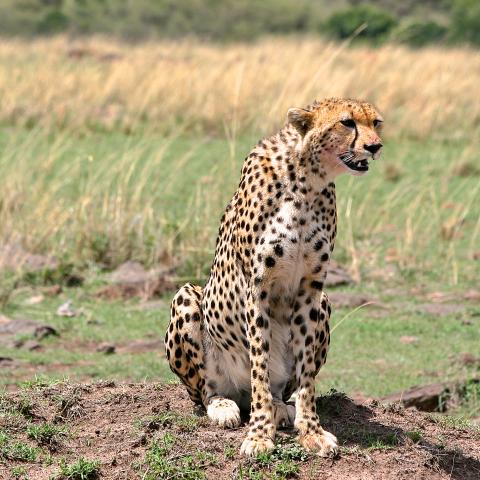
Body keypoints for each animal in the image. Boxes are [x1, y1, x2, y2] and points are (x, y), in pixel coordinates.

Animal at [165, 97, 382, 458]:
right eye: (347, 123)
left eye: (376, 122)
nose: (375, 146)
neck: (307, 181)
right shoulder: (257, 287)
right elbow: (259, 364)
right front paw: (258, 435)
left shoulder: (311, 288)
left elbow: (305, 375)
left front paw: (311, 432)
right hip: (186, 298)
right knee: (207, 391)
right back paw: (224, 405)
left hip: (325, 303)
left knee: (279, 386)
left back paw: (281, 407)